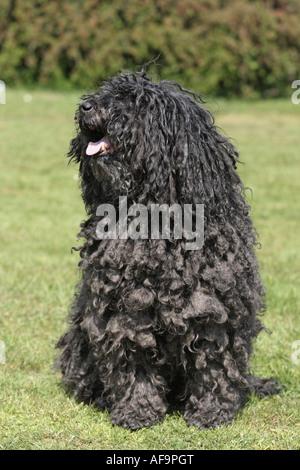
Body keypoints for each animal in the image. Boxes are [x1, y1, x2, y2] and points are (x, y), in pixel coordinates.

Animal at [56, 70, 282, 430]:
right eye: (106, 93)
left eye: (135, 103)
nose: (87, 106)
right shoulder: (126, 306)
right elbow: (132, 360)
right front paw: (136, 412)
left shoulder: (214, 306)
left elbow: (214, 361)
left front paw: (211, 413)